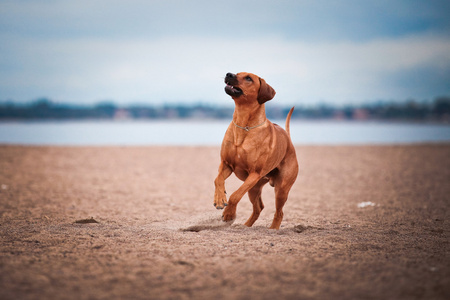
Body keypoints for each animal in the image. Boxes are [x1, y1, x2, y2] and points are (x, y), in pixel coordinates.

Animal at [214, 71, 298, 229]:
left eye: (248, 78)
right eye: (237, 72)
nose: (229, 74)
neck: (244, 124)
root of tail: (289, 143)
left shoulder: (254, 173)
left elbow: (235, 195)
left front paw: (229, 214)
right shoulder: (226, 164)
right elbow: (217, 180)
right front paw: (219, 198)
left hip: (281, 189)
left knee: (279, 212)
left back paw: (273, 229)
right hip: (254, 188)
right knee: (259, 208)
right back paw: (246, 225)